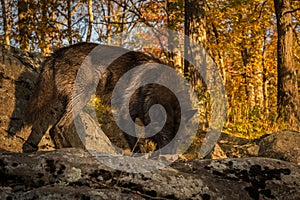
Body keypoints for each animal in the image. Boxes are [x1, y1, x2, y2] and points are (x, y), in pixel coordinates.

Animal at [21, 42, 195, 155]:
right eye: (166, 137)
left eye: (180, 140)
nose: (169, 157)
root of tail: (59, 52)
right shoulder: (125, 114)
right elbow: (135, 142)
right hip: (82, 96)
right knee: (57, 127)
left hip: (60, 103)